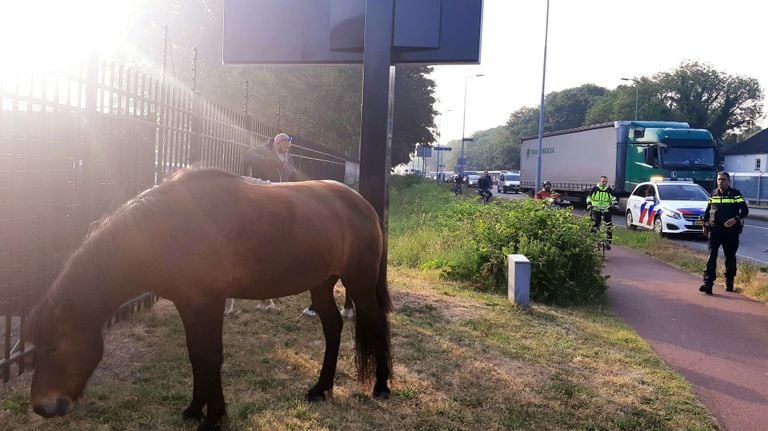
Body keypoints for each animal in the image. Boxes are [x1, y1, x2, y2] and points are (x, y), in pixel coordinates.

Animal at [26, 169, 392, 431]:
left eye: (54, 346)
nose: (43, 407)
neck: (167, 228)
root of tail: (363, 204)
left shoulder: (210, 303)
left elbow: (212, 356)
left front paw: (214, 417)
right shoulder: (188, 305)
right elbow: (197, 356)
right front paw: (193, 409)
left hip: (359, 283)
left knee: (376, 325)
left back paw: (381, 386)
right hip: (321, 284)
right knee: (333, 327)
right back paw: (320, 389)